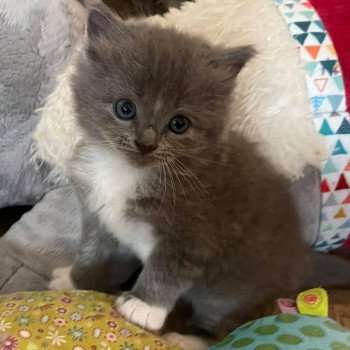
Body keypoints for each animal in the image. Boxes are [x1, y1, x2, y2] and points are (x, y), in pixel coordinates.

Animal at [50, 4, 308, 348]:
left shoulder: (196, 231)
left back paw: (188, 338)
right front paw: (75, 280)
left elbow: (168, 270)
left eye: (179, 124)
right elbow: (91, 250)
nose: (145, 143)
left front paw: (143, 306)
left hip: (229, 287)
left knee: (227, 324)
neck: (127, 172)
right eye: (125, 108)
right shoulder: (96, 211)